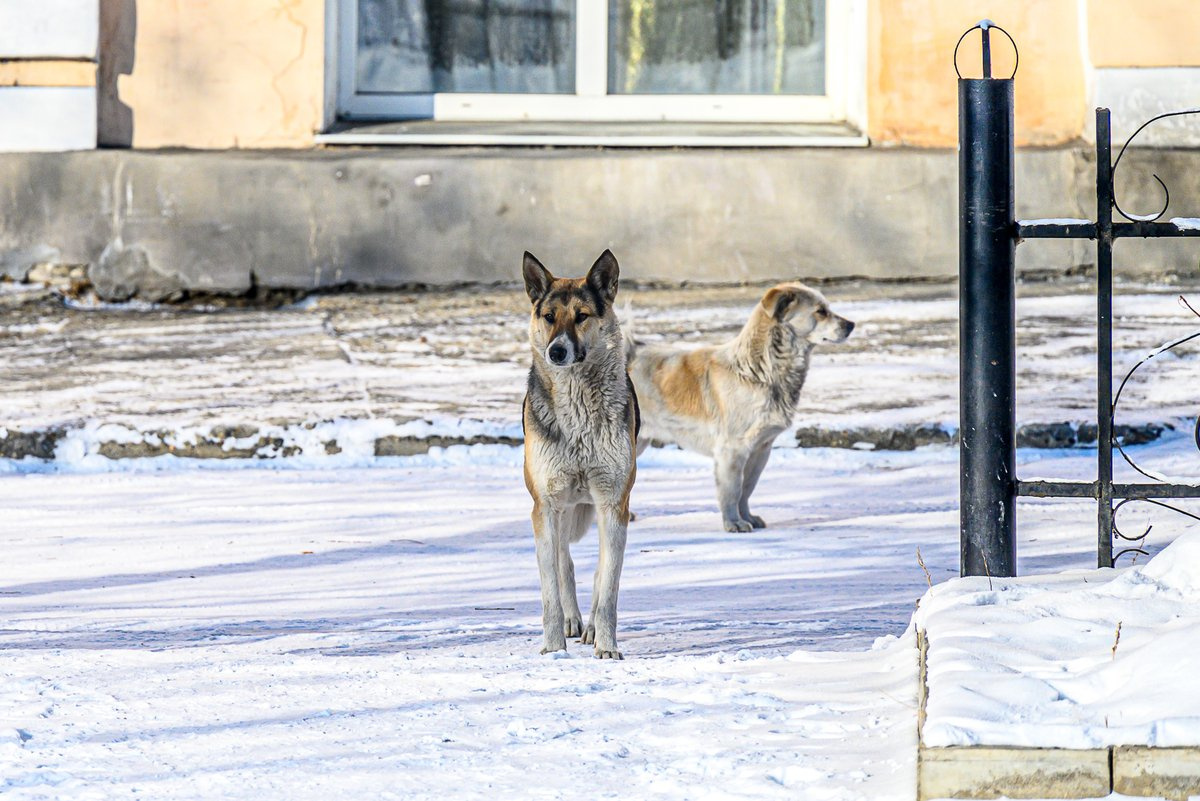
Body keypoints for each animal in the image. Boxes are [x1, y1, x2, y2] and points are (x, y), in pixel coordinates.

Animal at [523, 248, 643, 657]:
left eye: (582, 315)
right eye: (549, 317)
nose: (556, 351)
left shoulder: (613, 503)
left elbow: (608, 588)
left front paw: (606, 646)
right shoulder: (546, 505)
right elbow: (549, 589)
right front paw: (553, 648)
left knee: (598, 569)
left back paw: (589, 627)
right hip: (558, 510)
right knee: (565, 564)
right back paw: (572, 621)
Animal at [628, 281, 854, 532]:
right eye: (821, 311)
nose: (851, 325)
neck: (759, 370)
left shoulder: (761, 449)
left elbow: (747, 489)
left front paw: (748, 517)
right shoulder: (732, 449)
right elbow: (732, 490)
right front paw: (733, 522)